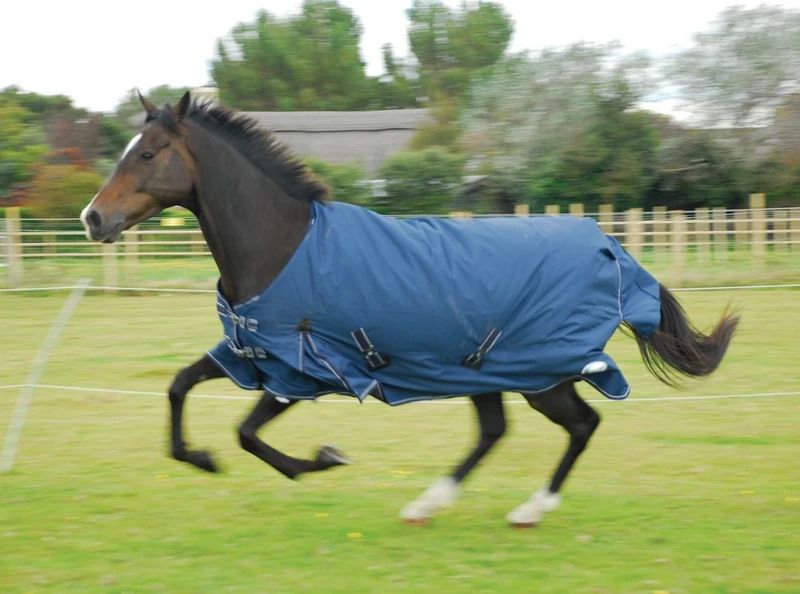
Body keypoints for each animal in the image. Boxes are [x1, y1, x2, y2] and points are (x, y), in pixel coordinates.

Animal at [80, 91, 739, 528]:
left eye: (149, 154)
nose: (92, 218)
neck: (283, 244)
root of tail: (610, 247)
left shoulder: (298, 369)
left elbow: (247, 434)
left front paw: (322, 459)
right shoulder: (248, 352)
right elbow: (178, 388)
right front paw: (200, 457)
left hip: (537, 373)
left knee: (581, 425)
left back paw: (528, 509)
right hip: (484, 370)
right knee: (500, 431)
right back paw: (431, 503)